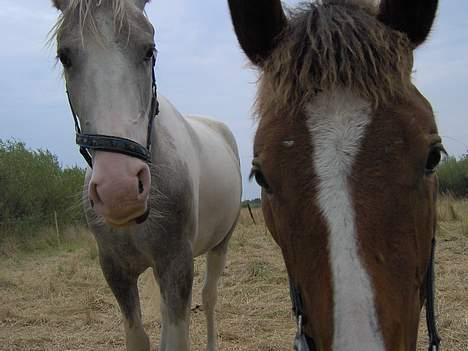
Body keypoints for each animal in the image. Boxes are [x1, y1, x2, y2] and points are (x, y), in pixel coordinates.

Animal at [51, 1, 241, 350]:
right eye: (65, 56)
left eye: (149, 50)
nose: (120, 190)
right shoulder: (116, 270)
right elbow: (139, 336)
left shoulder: (177, 265)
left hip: (221, 243)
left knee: (209, 297)